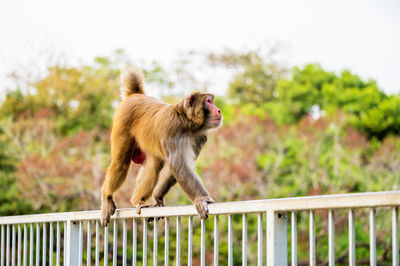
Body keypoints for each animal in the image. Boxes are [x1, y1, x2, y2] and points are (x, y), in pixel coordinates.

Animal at [100, 67, 223, 227]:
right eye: (209, 101)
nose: (219, 110)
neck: (187, 122)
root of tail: (135, 95)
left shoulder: (200, 137)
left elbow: (175, 167)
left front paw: (157, 197)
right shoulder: (173, 128)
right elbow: (179, 164)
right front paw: (201, 198)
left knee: (153, 165)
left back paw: (138, 201)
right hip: (122, 122)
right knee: (120, 163)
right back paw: (107, 196)